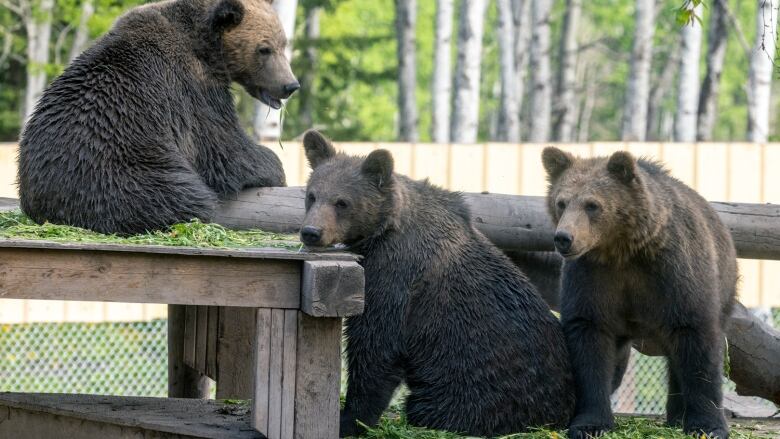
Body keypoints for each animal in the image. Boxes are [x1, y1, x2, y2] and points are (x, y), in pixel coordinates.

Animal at [20, 0, 296, 235]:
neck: (206, 46)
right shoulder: (193, 89)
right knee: (180, 196)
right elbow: (223, 148)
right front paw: (275, 166)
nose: (290, 85)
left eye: (284, 44)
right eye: (264, 49)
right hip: (125, 168)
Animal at [302, 131, 576, 439]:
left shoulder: (393, 275)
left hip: (475, 385)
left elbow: (375, 343)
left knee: (436, 407)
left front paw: (349, 419)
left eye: (342, 202)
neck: (382, 231)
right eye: (311, 195)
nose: (311, 232)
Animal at [544, 149, 736, 439]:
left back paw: (678, 415)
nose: (564, 238)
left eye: (592, 205)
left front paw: (708, 425)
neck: (621, 250)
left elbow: (696, 338)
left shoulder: (673, 272)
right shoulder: (592, 278)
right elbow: (590, 341)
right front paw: (589, 423)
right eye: (561, 202)